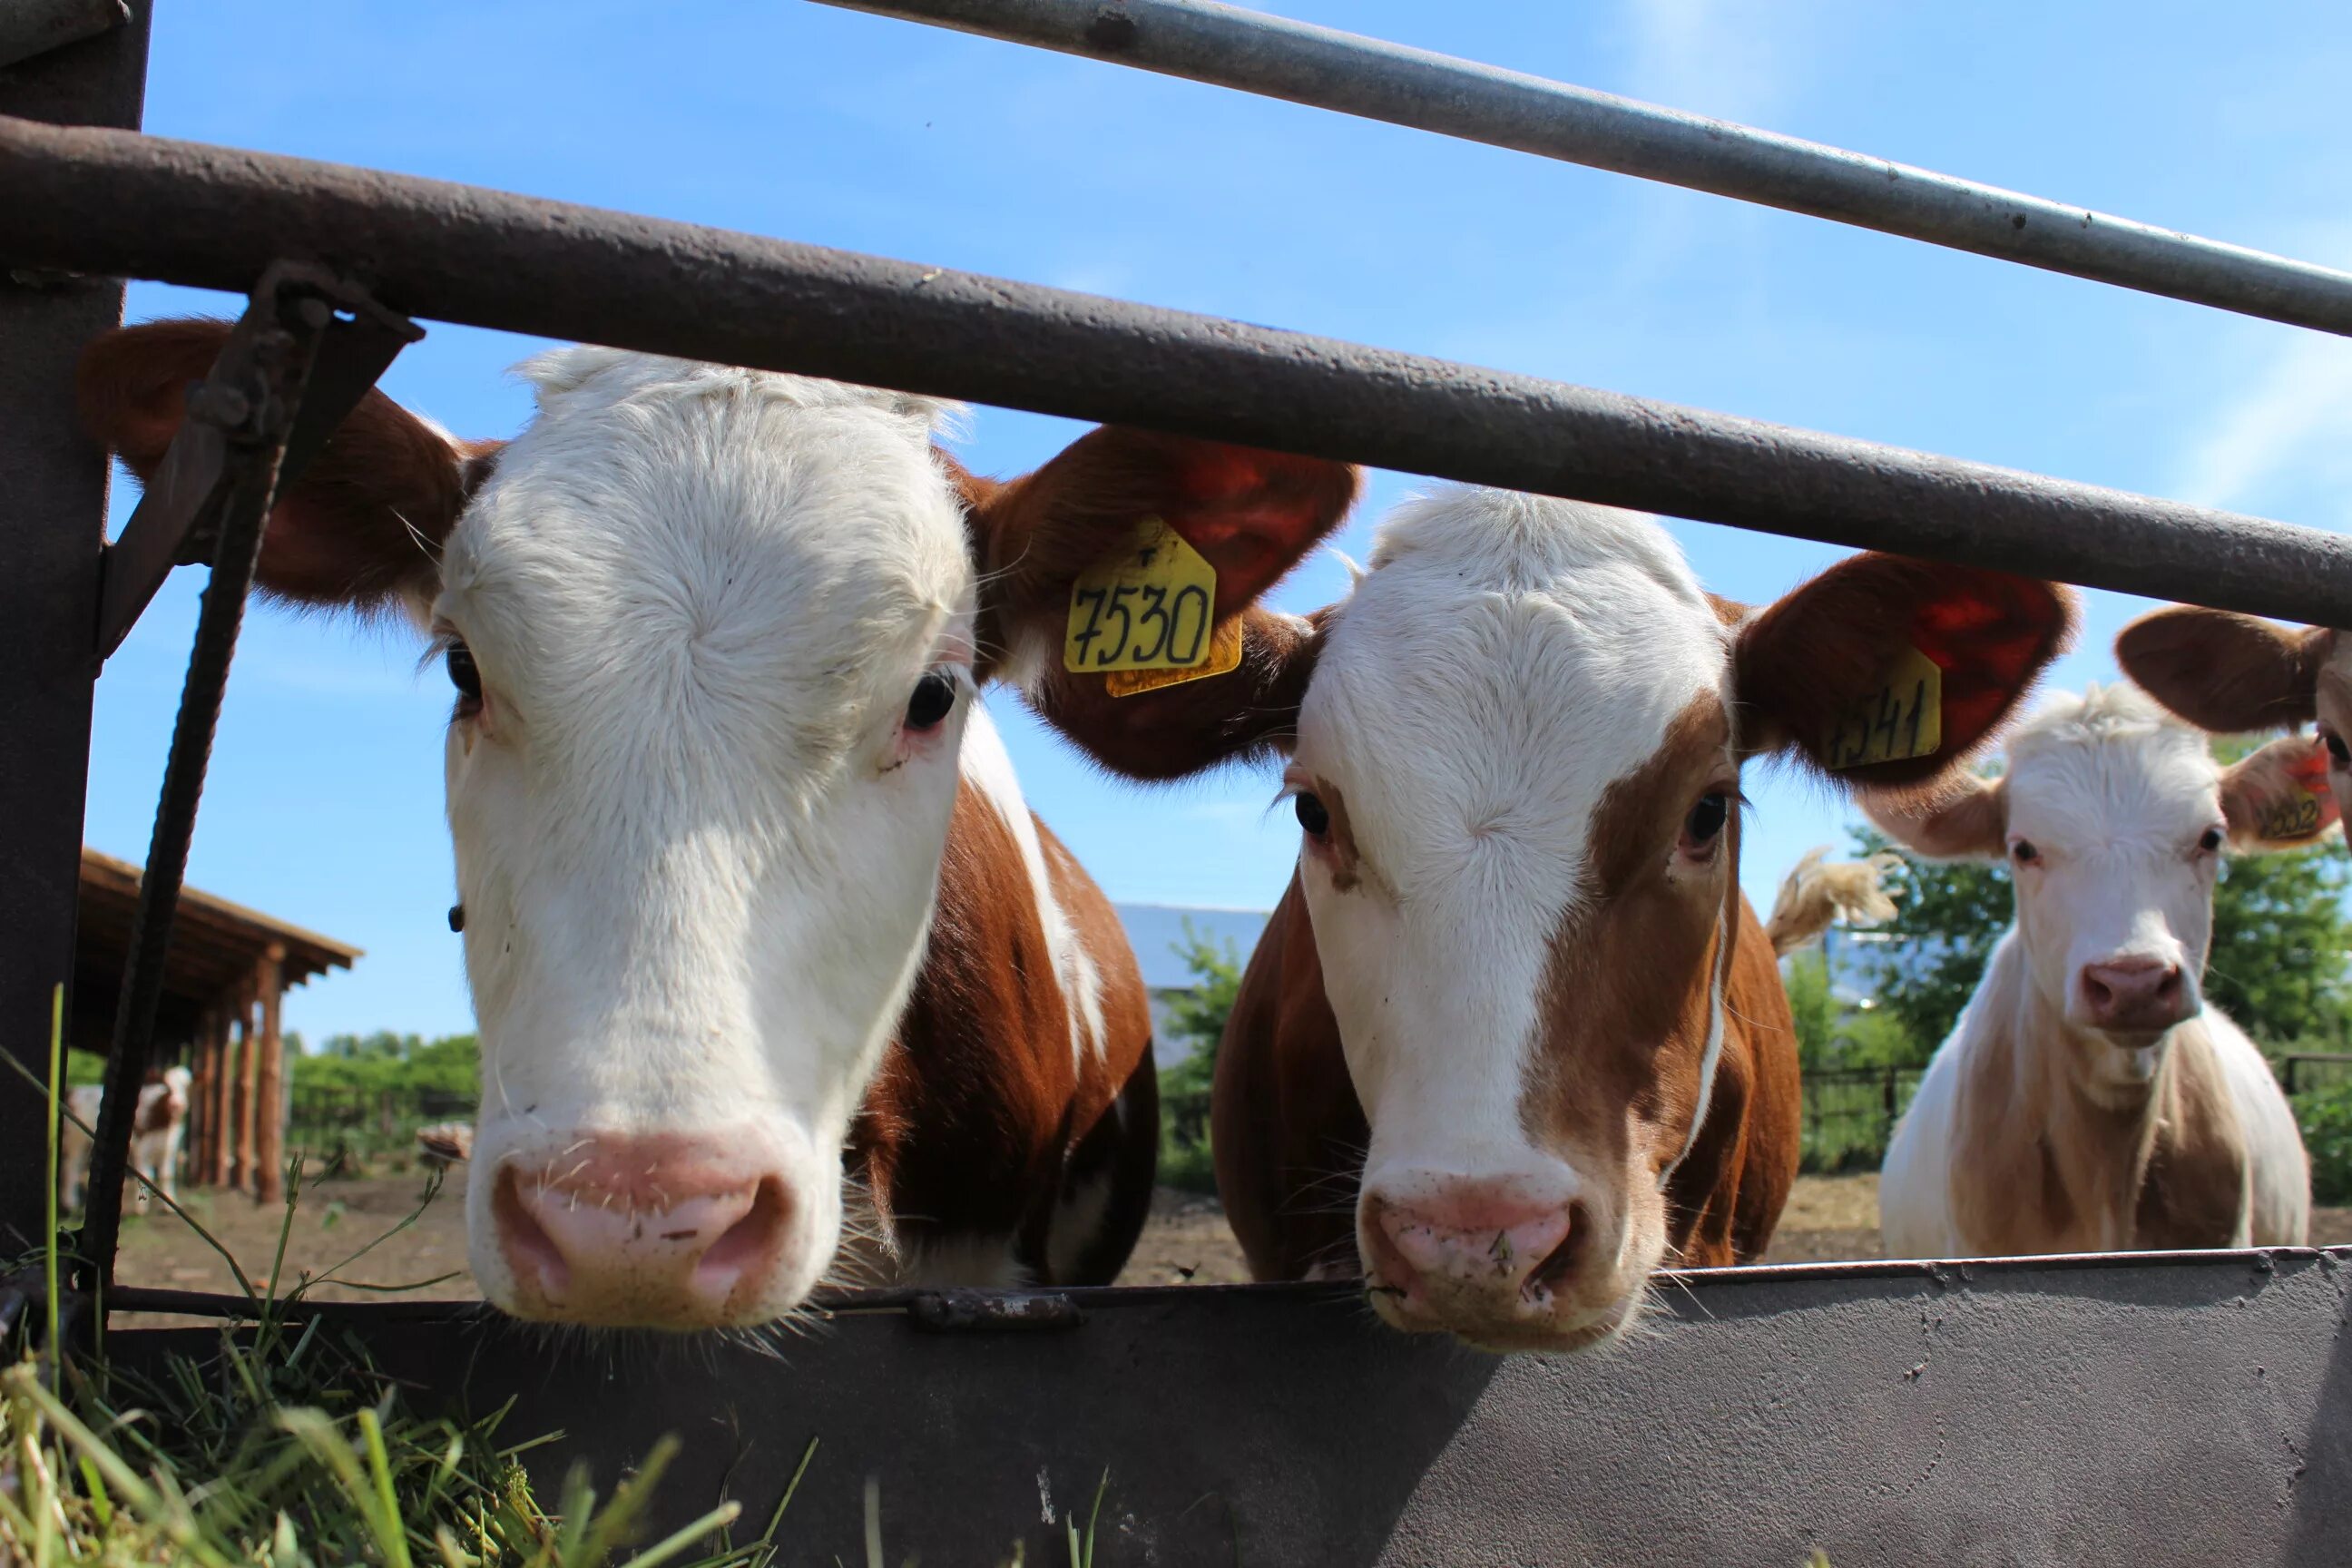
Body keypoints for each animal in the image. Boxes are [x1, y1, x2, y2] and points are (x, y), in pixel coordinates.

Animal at [62, 1067, 192, 1212]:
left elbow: (167, 1175)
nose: (177, 1105)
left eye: (187, 1087)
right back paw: (70, 1203)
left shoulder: (170, 1147)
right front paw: (141, 1210)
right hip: (75, 1139)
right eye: (166, 1085)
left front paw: (169, 1205)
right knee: (71, 1166)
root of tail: (74, 1091)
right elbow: (147, 1175)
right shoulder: (142, 1147)